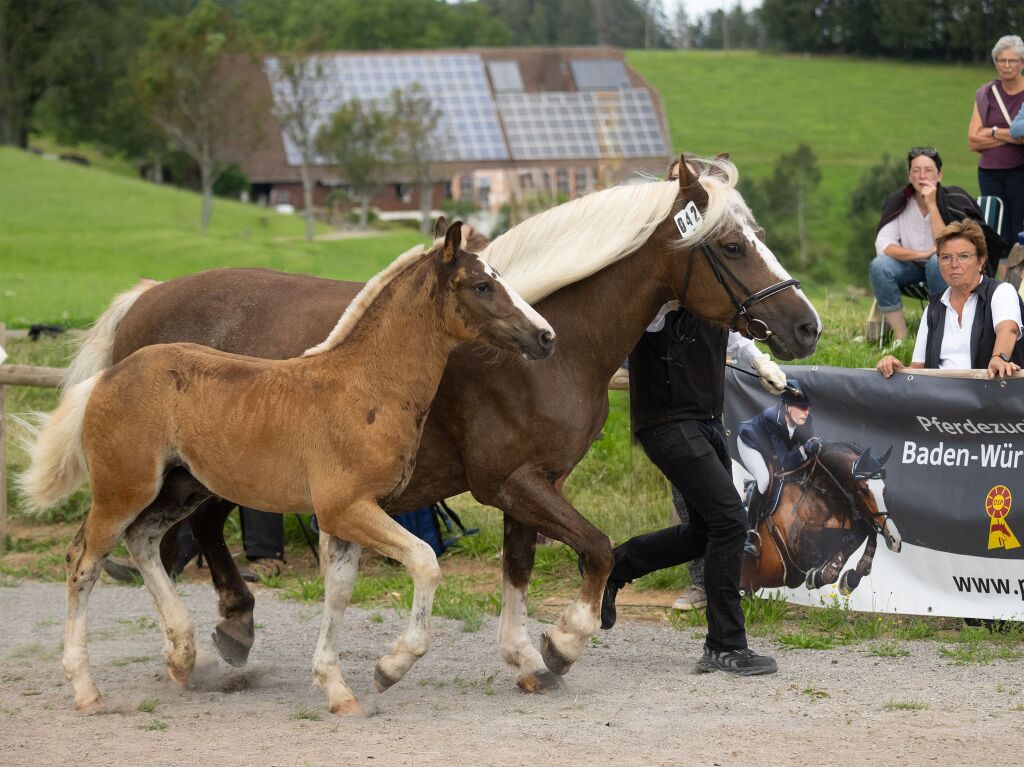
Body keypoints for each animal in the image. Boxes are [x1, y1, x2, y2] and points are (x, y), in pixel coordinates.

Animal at [19, 224, 557, 716]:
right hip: (123, 489)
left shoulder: (347, 517)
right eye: (482, 285)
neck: (365, 386)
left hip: (181, 488)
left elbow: (338, 590)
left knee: (143, 541)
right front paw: (389, 668)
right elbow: (424, 561)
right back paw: (86, 688)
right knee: (84, 561)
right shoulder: (346, 508)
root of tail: (108, 376)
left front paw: (337, 689)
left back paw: (183, 657)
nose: (546, 336)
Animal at [59, 153, 819, 692]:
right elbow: (598, 548)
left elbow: (521, 566)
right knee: (159, 540)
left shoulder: (534, 483)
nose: (805, 326)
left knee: (180, 536)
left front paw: (528, 656)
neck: (548, 340)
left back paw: (218, 635)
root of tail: (144, 301)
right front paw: (563, 640)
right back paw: (212, 637)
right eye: (732, 246)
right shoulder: (510, 481)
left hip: (205, 477)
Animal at [741, 440, 901, 593]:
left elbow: (862, 532)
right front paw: (822, 576)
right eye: (863, 490)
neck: (825, 491)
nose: (894, 539)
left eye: (884, 490)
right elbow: (849, 536)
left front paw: (849, 578)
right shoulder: (798, 544)